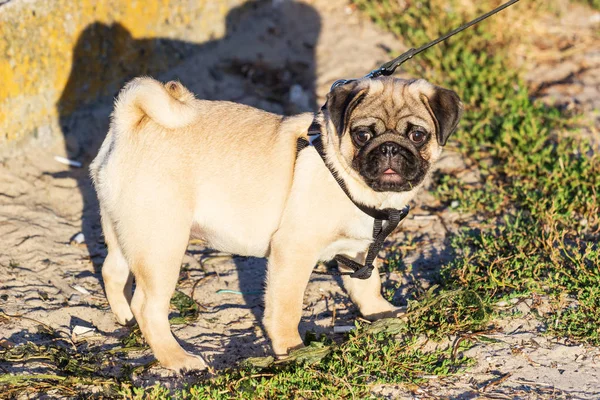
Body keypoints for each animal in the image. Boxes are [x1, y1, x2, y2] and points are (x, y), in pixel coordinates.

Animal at [90, 76, 464, 372]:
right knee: (149, 306)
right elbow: (286, 308)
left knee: (112, 270)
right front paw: (292, 349)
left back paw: (124, 318)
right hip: (162, 245)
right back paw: (176, 358)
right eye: (361, 135)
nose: (389, 149)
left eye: (417, 136)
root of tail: (131, 121)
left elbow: (368, 285)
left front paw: (382, 314)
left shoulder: (359, 250)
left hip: (127, 230)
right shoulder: (294, 251)